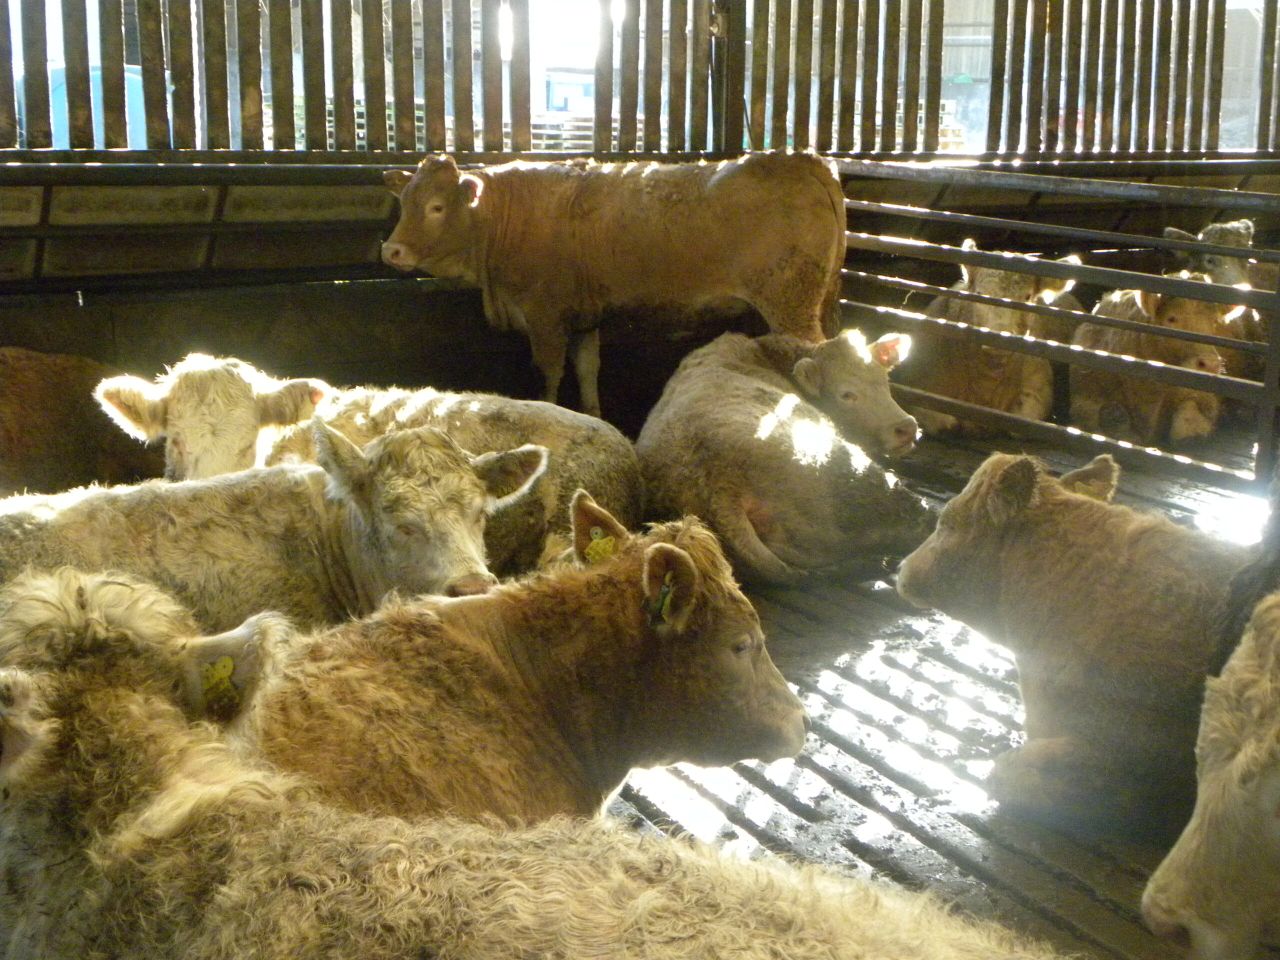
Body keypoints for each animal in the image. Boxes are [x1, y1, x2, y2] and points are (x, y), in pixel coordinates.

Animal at [380, 152, 848, 417]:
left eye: (436, 207)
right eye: (405, 202)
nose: (392, 250)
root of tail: (798, 159)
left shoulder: (545, 318)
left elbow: (549, 374)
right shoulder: (584, 319)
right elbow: (587, 370)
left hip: (791, 305)